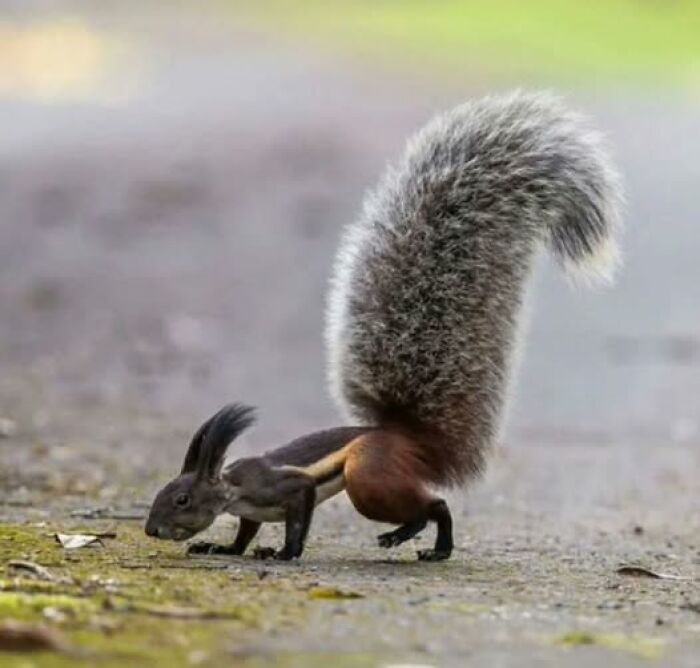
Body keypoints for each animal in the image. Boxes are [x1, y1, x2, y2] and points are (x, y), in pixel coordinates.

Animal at [145, 91, 623, 561]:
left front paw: (285, 552)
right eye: (163, 493)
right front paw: (223, 546)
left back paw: (425, 543)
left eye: (182, 499)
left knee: (436, 504)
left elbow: (298, 513)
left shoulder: (288, 487)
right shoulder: (253, 511)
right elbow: (245, 532)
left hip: (369, 479)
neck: (233, 488)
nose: (152, 530)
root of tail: (406, 439)